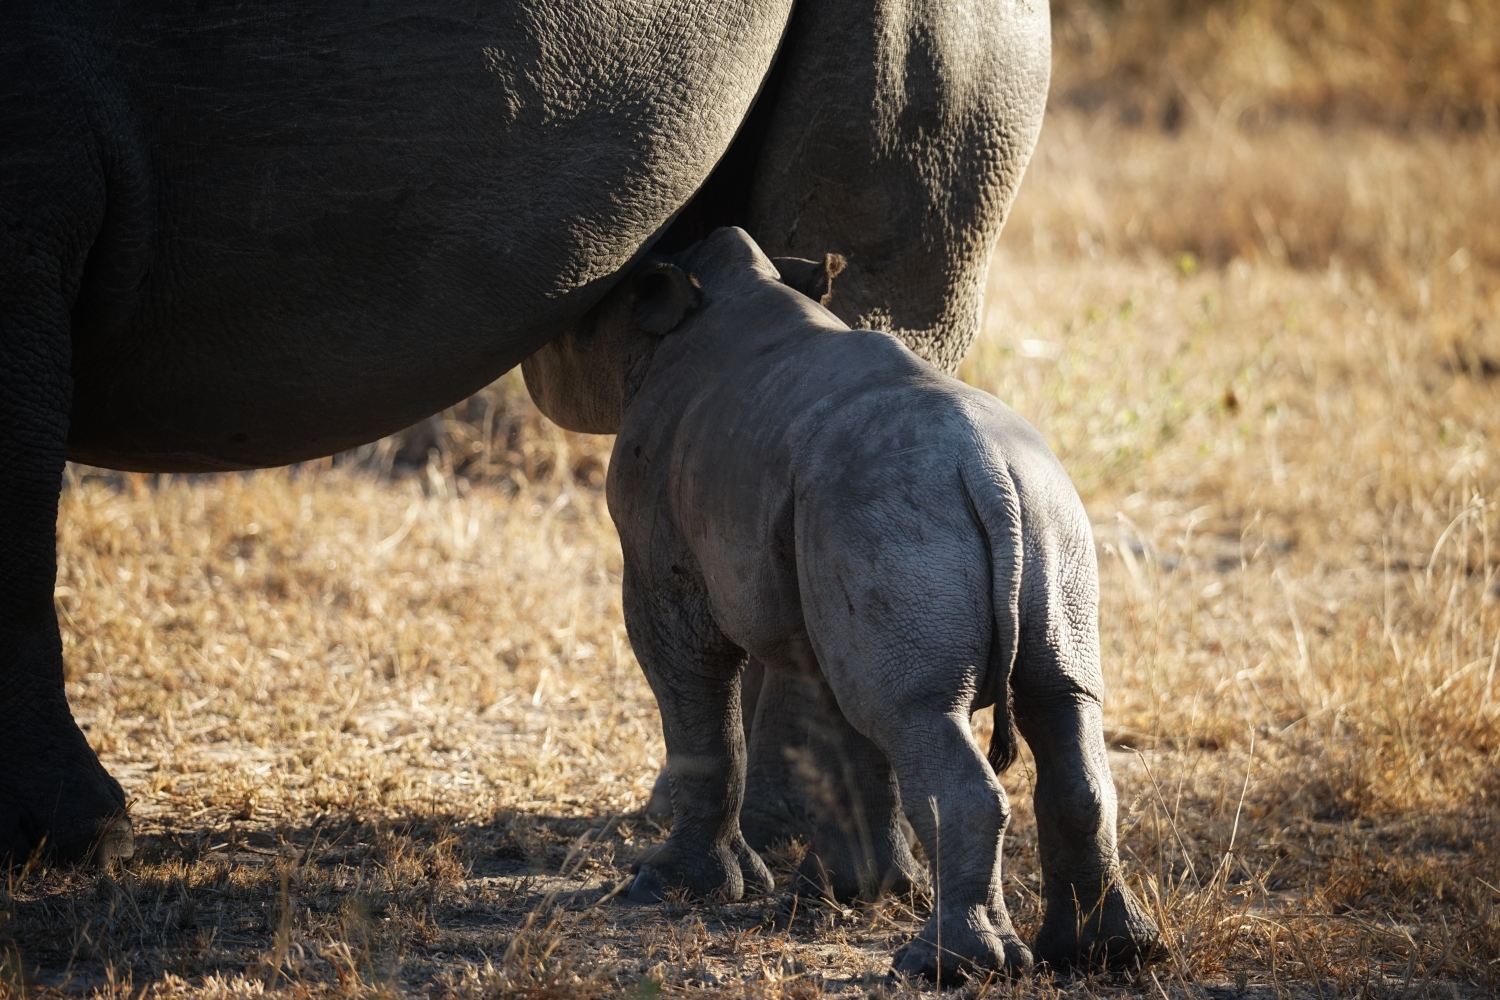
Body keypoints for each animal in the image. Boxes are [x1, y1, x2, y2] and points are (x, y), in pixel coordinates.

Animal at [525, 226, 1158, 977]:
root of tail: (988, 472)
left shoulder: (660, 553)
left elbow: (698, 706)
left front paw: (672, 887)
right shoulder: (824, 567)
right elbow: (846, 734)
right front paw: (854, 891)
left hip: (899, 505)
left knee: (917, 712)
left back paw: (943, 968)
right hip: (1038, 513)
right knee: (1054, 701)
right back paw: (1109, 953)